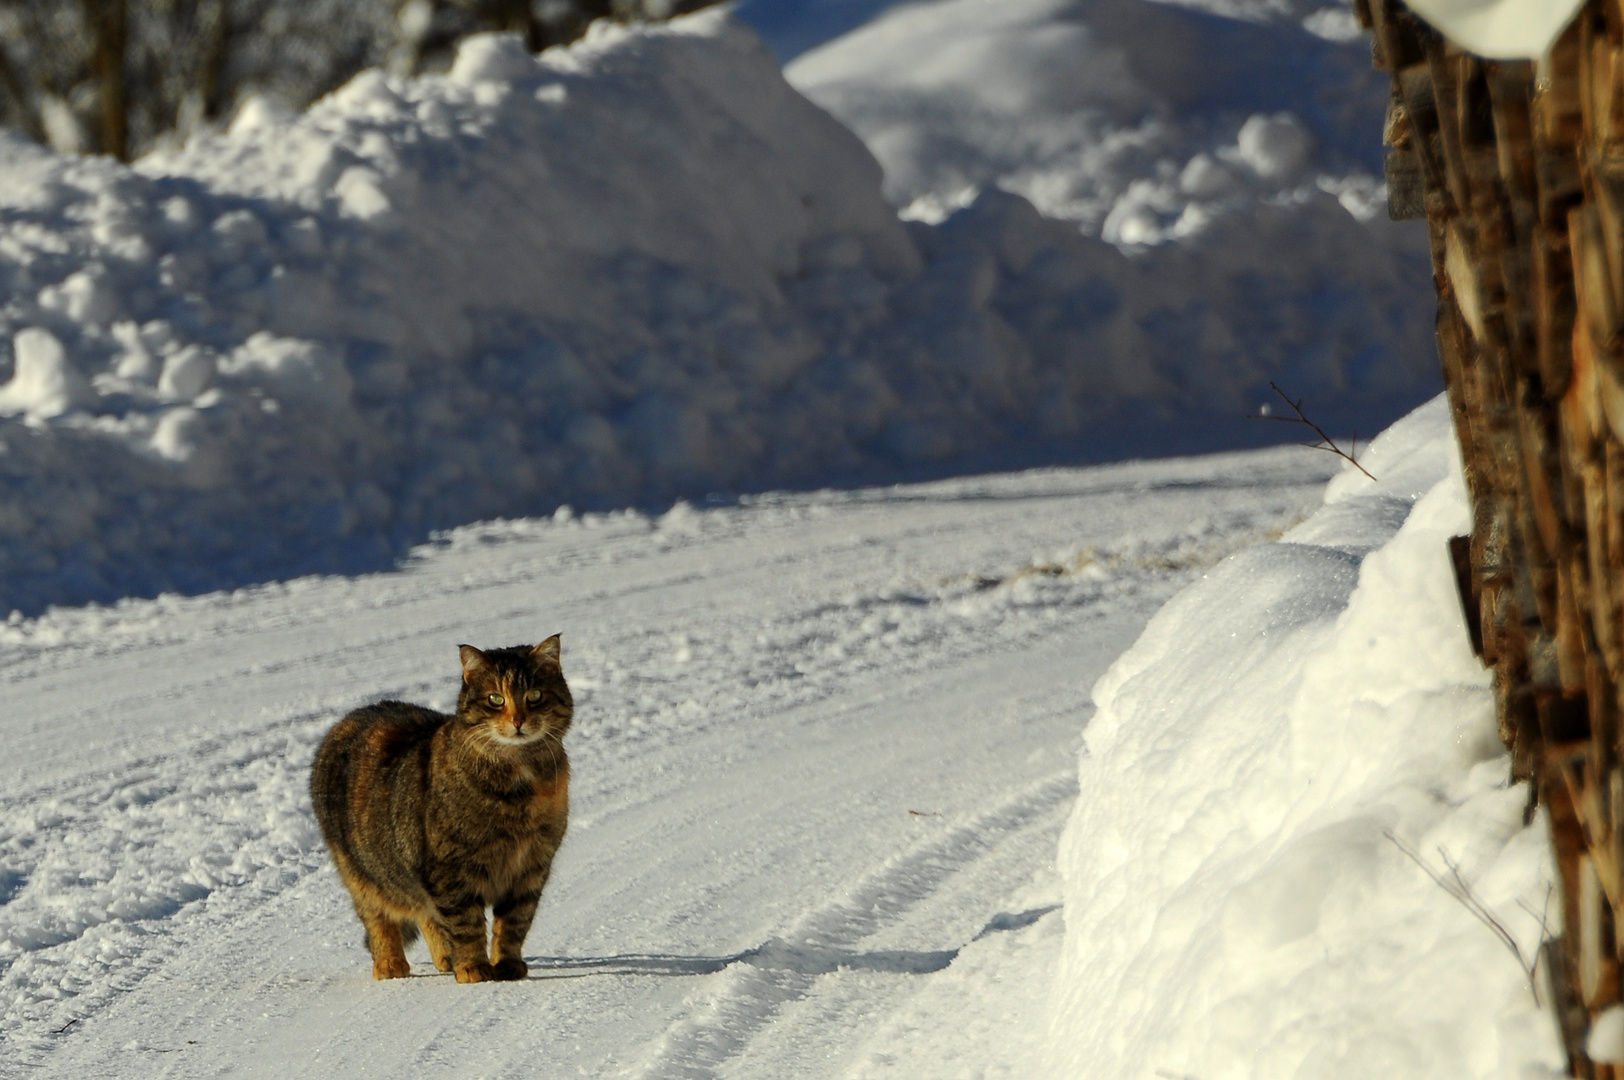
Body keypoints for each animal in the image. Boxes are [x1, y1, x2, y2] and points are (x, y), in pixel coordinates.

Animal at [313, 636, 574, 980]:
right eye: (495, 699)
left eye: (534, 695)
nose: (518, 720)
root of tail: (349, 718)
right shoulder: (449, 869)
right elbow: (466, 924)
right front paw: (474, 967)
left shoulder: (531, 867)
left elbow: (515, 923)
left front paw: (506, 965)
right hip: (363, 875)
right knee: (380, 918)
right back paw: (390, 963)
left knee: (427, 913)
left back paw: (445, 957)